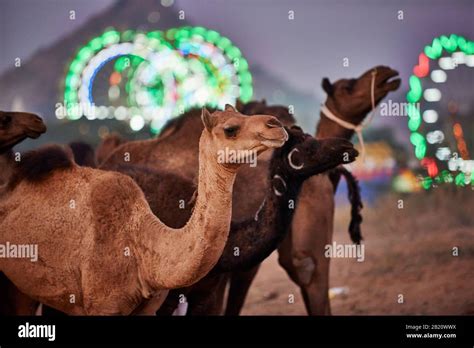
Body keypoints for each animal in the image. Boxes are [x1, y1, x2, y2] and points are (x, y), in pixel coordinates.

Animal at [0, 106, 286, 316]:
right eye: (230, 129)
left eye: (244, 113)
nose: (277, 125)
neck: (144, 251)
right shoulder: (104, 307)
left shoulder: (148, 308)